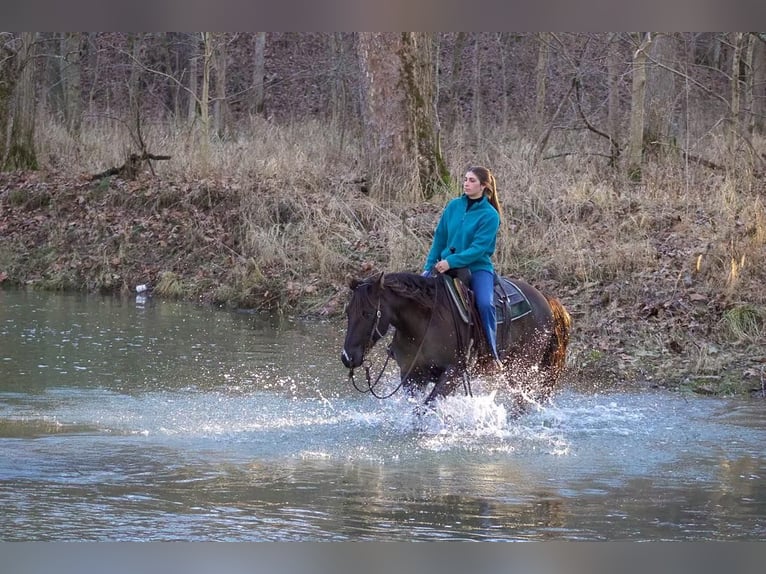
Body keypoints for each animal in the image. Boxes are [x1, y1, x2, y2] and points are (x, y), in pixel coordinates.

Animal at [340, 272, 568, 408]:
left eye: (368, 313)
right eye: (348, 312)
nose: (347, 357)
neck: (425, 324)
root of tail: (545, 299)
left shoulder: (454, 372)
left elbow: (427, 406)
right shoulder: (412, 375)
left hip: (521, 368)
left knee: (521, 402)